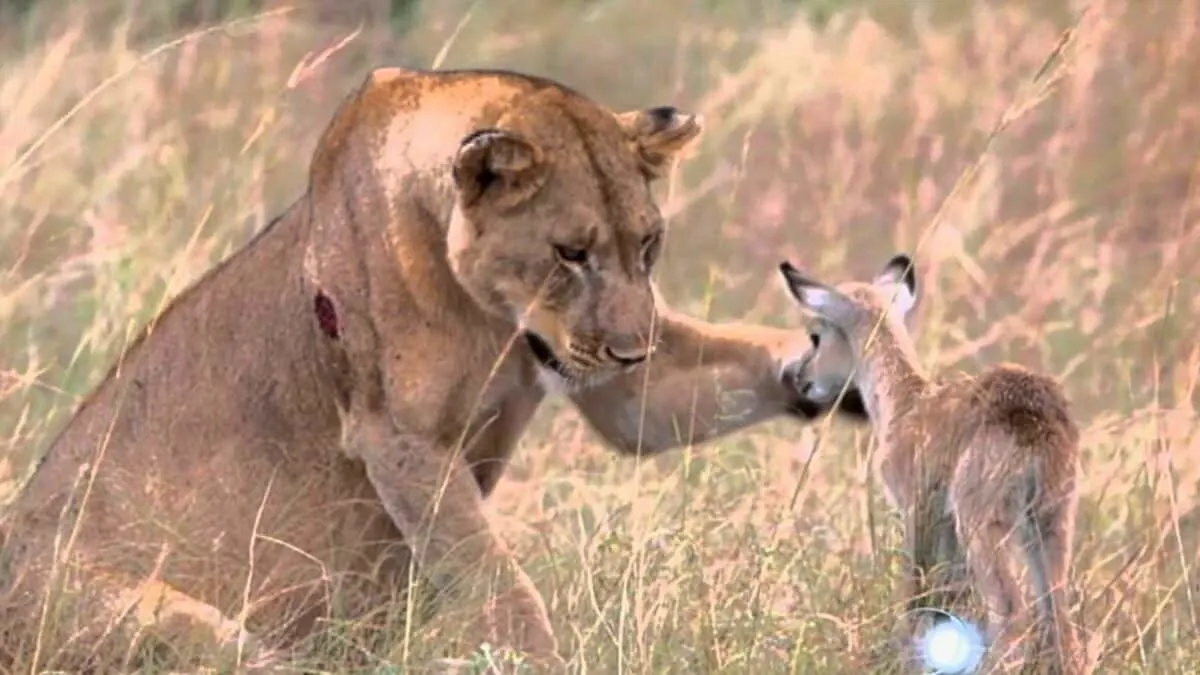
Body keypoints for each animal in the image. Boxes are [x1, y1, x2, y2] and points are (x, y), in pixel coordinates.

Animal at [777, 254, 1089, 667]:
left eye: (816, 334)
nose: (799, 377)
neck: (904, 404)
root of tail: (1035, 419)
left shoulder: (919, 511)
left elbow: (917, 594)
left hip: (985, 524)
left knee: (1009, 608)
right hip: (1051, 522)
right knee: (1058, 614)